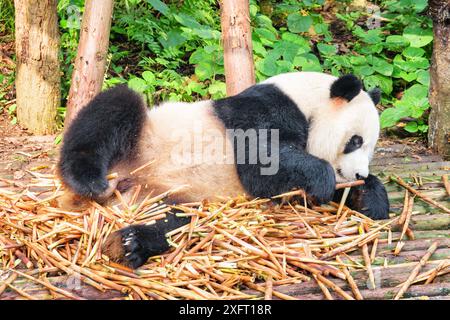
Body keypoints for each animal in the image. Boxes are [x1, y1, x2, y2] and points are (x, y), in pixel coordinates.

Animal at [59, 72, 390, 268]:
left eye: (371, 147)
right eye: (355, 140)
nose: (358, 175)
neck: (307, 99)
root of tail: (127, 185)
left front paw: (369, 200)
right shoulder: (260, 110)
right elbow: (261, 162)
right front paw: (322, 179)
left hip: (174, 198)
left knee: (176, 221)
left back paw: (130, 244)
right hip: (142, 137)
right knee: (114, 107)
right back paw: (88, 180)